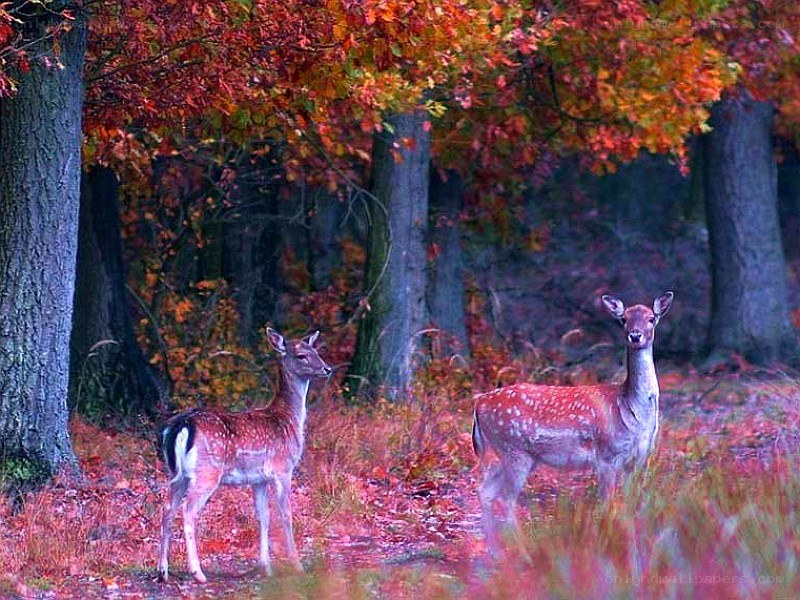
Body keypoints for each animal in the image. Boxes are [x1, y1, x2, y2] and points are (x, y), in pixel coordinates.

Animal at [157, 328, 332, 583]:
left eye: (316, 350)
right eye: (302, 355)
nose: (327, 369)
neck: (288, 419)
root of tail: (182, 425)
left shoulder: (258, 479)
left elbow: (263, 516)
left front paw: (265, 566)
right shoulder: (283, 469)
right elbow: (285, 515)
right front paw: (297, 565)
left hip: (177, 474)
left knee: (167, 508)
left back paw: (162, 571)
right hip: (206, 472)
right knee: (188, 511)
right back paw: (198, 572)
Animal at [472, 292, 673, 556]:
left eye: (651, 318)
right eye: (623, 319)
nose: (635, 335)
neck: (631, 412)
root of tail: (479, 403)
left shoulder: (638, 460)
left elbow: (630, 505)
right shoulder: (605, 455)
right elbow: (608, 504)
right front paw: (608, 545)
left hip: (515, 454)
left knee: (485, 490)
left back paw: (495, 552)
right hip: (513, 449)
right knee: (505, 499)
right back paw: (524, 551)